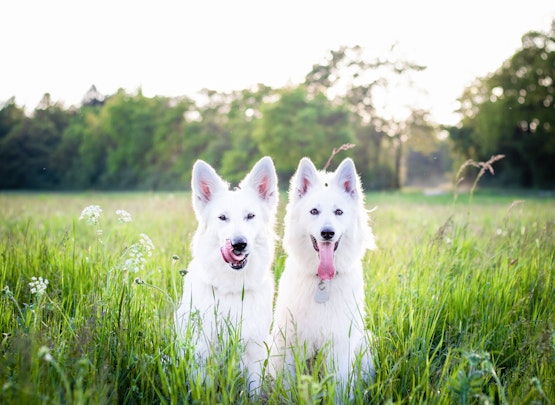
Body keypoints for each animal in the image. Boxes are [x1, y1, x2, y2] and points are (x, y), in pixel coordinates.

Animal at [177, 156, 280, 392]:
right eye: (222, 217)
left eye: (250, 216)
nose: (238, 244)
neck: (232, 289)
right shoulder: (202, 353)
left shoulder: (254, 352)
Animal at [270, 156, 376, 396]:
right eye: (314, 212)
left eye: (338, 212)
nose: (327, 233)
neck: (322, 283)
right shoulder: (289, 341)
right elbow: (288, 385)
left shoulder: (340, 342)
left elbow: (339, 387)